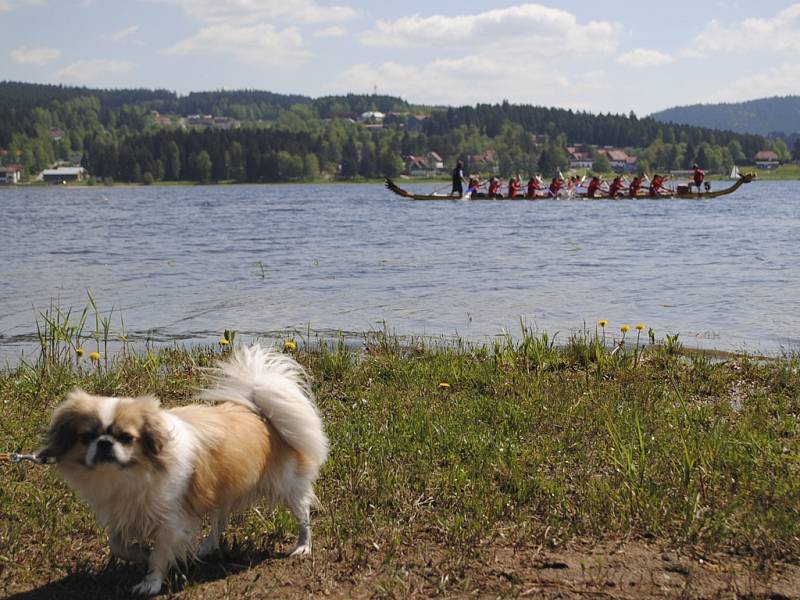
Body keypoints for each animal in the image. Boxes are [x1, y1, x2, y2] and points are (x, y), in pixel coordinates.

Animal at [39, 344, 328, 596]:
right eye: (86, 437)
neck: (129, 475)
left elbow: (159, 554)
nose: (104, 443)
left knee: (302, 513)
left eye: (126, 438)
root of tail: (259, 411)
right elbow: (118, 545)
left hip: (285, 483)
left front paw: (150, 583)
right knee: (220, 519)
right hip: (222, 487)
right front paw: (140, 554)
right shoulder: (126, 511)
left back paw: (303, 546)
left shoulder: (171, 520)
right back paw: (208, 547)